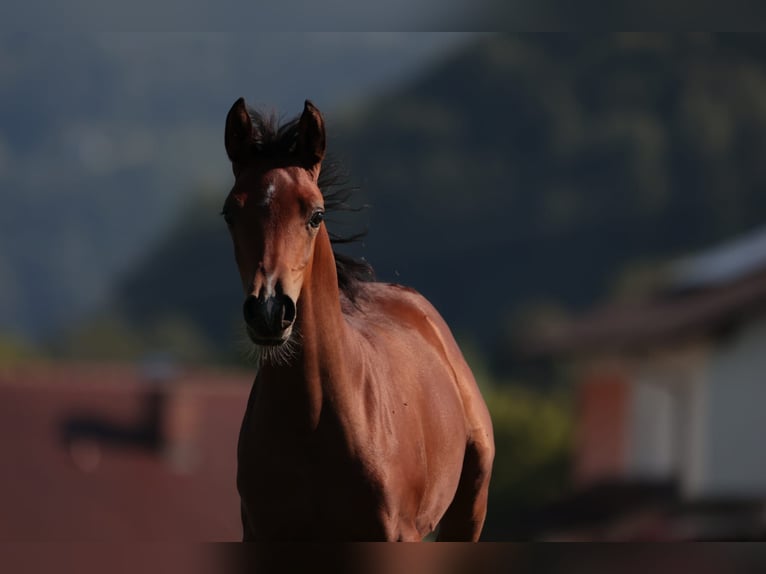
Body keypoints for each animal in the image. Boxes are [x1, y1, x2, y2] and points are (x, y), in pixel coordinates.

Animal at [222, 97, 494, 541]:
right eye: (230, 213)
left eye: (315, 214)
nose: (269, 311)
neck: (313, 423)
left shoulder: (397, 534)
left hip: (469, 509)